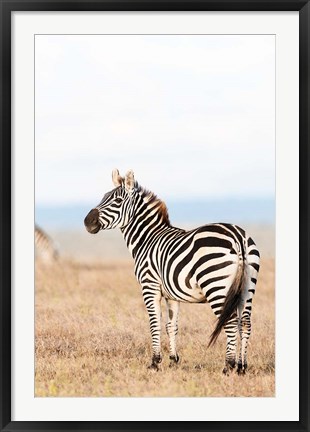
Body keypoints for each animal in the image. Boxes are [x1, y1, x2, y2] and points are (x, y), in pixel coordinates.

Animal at [84, 170, 260, 374]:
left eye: (117, 201)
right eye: (103, 197)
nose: (87, 222)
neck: (146, 239)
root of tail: (238, 237)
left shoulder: (149, 286)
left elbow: (155, 324)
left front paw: (154, 362)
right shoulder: (171, 295)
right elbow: (171, 325)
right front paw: (173, 360)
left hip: (217, 286)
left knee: (230, 323)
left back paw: (228, 366)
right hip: (247, 288)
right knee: (245, 323)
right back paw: (242, 367)